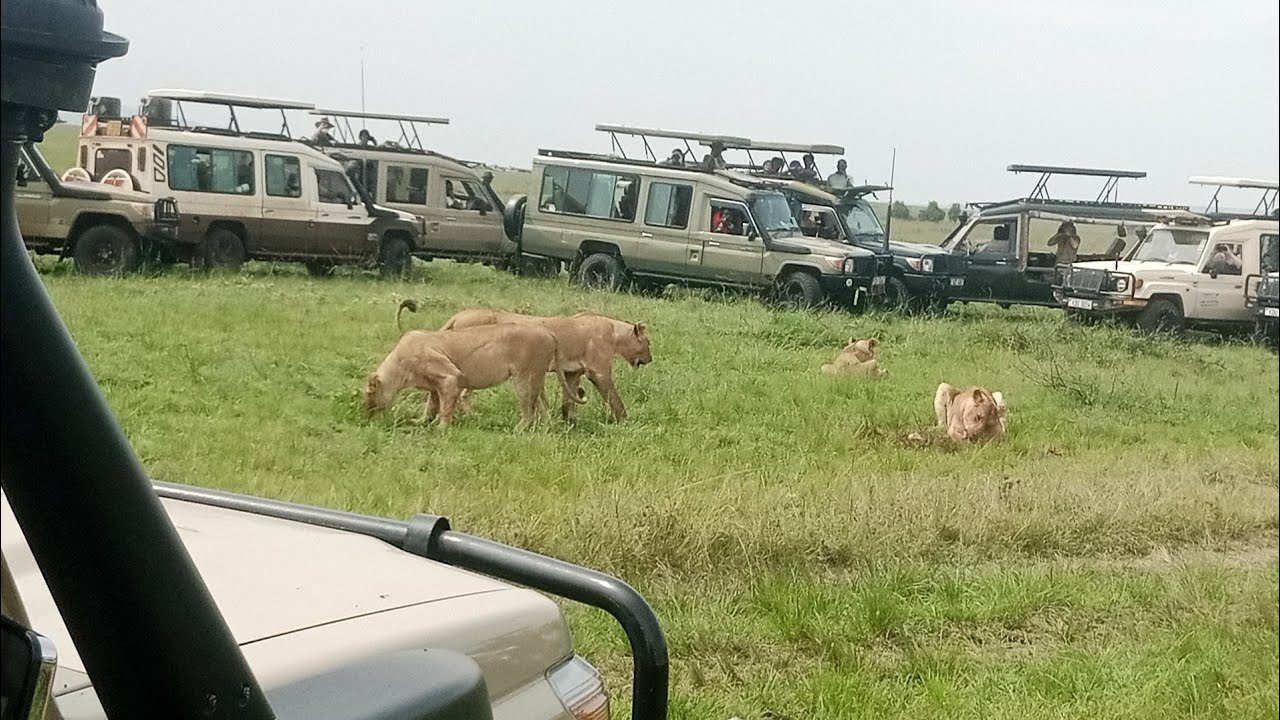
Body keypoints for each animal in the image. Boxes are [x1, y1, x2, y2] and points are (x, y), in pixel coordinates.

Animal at [363, 324, 584, 429]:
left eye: (368, 395)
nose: (365, 413)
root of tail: (549, 333)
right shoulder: (434, 386)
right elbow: (431, 405)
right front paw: (421, 422)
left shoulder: (451, 377)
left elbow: (445, 407)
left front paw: (441, 428)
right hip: (535, 379)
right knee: (542, 407)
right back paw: (545, 429)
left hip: (524, 378)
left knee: (529, 410)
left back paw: (518, 429)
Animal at [423, 304, 652, 422]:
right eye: (648, 343)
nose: (650, 359)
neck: (615, 333)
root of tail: (458, 315)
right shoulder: (598, 371)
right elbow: (614, 398)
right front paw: (624, 420)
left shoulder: (572, 373)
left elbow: (568, 401)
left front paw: (569, 422)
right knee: (463, 394)